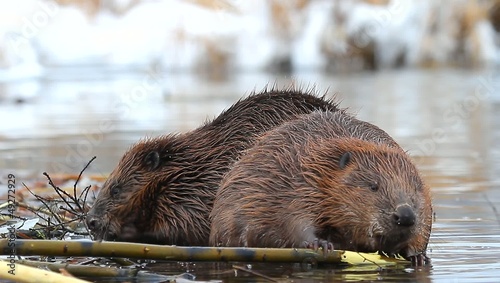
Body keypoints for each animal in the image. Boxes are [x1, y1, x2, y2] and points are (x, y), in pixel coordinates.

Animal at [87, 89, 344, 246]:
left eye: (116, 190)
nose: (91, 221)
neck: (195, 167)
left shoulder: (196, 197)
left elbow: (185, 229)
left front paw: (126, 232)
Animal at [209, 110, 432, 264]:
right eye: (373, 186)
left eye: (416, 189)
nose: (405, 216)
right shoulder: (298, 181)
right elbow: (293, 219)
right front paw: (321, 244)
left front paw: (418, 257)